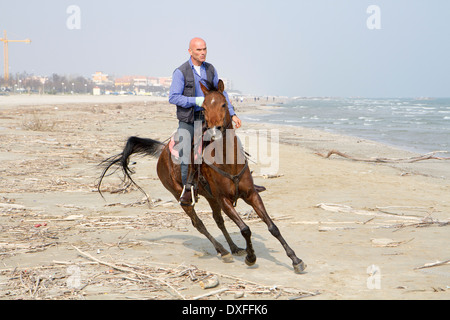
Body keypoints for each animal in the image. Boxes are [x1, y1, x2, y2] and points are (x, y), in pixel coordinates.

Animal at [98, 79, 306, 272]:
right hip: (183, 198)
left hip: (211, 197)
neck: (228, 161)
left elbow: (272, 227)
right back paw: (222, 251)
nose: (213, 131)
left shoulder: (251, 195)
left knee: (218, 221)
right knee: (198, 223)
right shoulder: (224, 199)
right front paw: (251, 257)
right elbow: (245, 229)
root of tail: (162, 150)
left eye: (224, 104)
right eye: (204, 107)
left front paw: (295, 259)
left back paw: (233, 248)